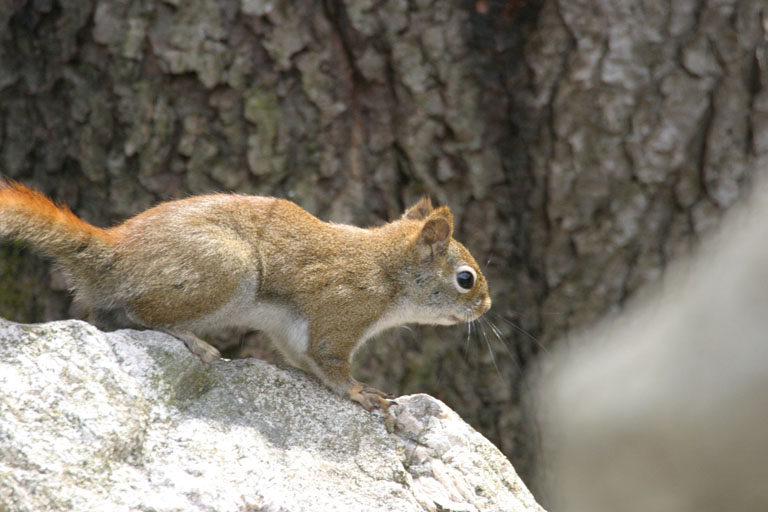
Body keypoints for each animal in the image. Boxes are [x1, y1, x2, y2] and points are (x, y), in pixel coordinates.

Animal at [0, 180, 491, 411]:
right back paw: (193, 341)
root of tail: (117, 250)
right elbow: (331, 361)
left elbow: (304, 358)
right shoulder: (343, 308)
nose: (487, 307)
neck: (388, 270)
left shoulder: (294, 334)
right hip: (225, 267)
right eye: (466, 279)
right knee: (140, 312)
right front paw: (359, 392)